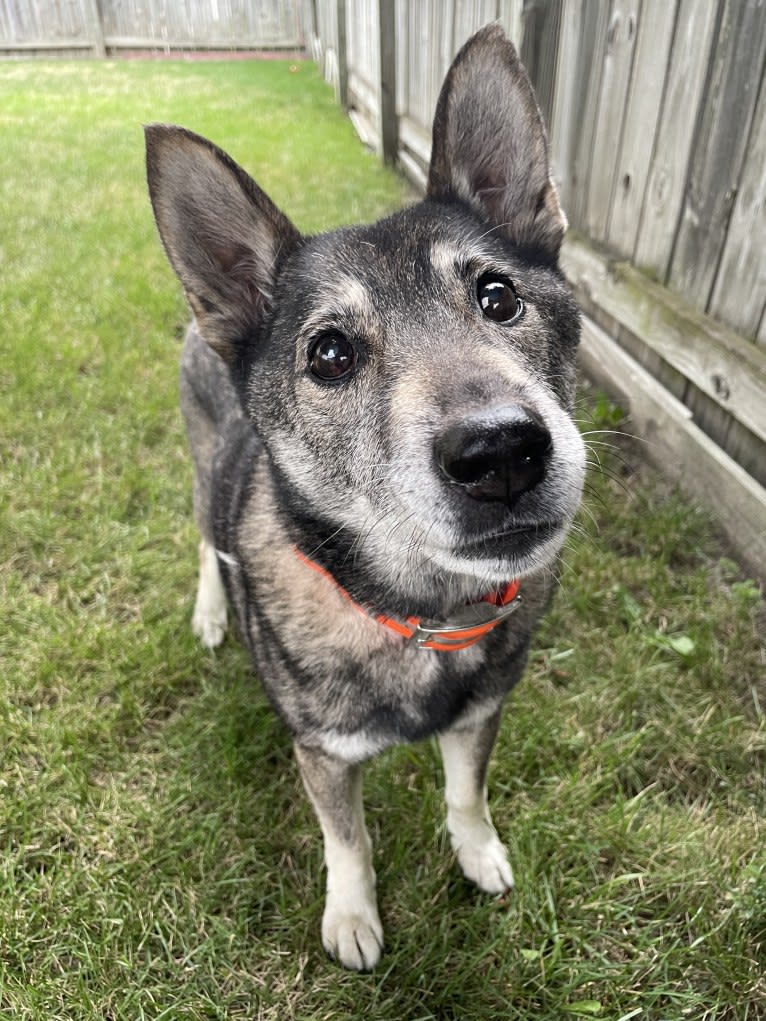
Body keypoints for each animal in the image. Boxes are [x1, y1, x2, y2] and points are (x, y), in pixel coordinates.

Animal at [145, 21, 588, 963]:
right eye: (329, 354)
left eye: (500, 296)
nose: (502, 449)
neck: (420, 612)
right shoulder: (323, 752)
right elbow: (346, 838)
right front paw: (352, 915)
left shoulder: (480, 713)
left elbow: (465, 791)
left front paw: (478, 850)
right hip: (202, 471)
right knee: (204, 538)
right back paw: (211, 609)